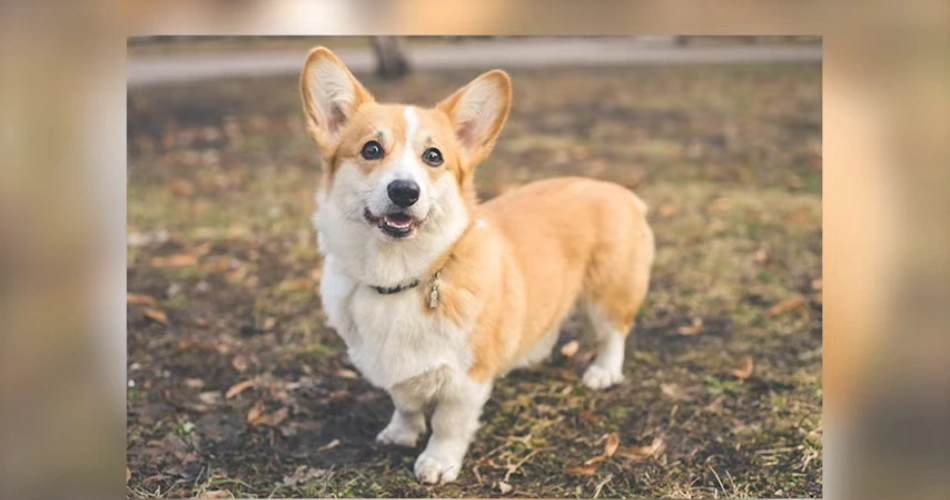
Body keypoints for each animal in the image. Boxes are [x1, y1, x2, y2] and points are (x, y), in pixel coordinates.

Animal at [304, 47, 656, 484]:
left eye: (433, 156)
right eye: (371, 149)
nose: (404, 191)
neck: (401, 276)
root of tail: (621, 191)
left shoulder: (465, 382)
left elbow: (448, 424)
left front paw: (437, 463)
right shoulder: (397, 371)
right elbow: (405, 403)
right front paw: (400, 433)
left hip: (607, 293)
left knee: (613, 334)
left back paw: (603, 372)